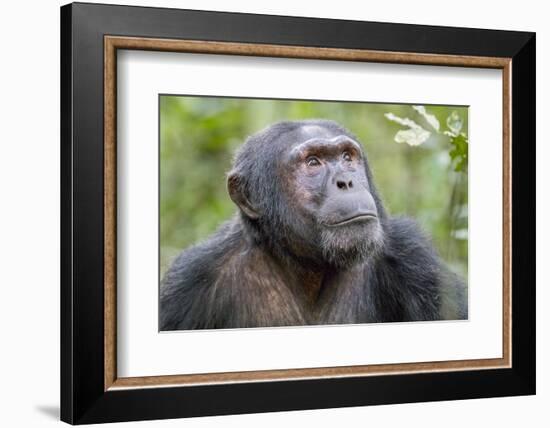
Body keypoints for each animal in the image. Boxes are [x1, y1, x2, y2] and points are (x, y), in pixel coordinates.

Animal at [161, 120, 470, 332]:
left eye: (347, 157)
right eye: (313, 162)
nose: (346, 181)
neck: (310, 265)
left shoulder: (416, 260)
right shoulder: (188, 281)